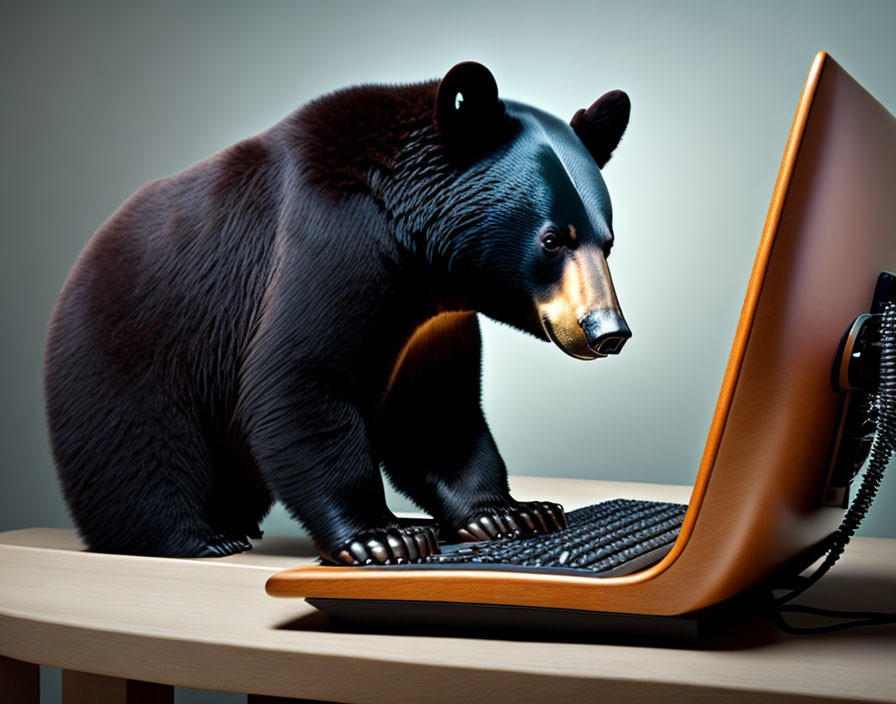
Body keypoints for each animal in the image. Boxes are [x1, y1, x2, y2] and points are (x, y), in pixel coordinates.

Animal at [43, 63, 632, 564]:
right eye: (553, 239)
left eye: (607, 241)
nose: (608, 331)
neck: (415, 249)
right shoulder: (330, 245)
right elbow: (300, 378)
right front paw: (384, 536)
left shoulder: (433, 320)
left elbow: (436, 411)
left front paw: (510, 513)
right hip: (129, 346)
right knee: (142, 451)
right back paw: (200, 537)